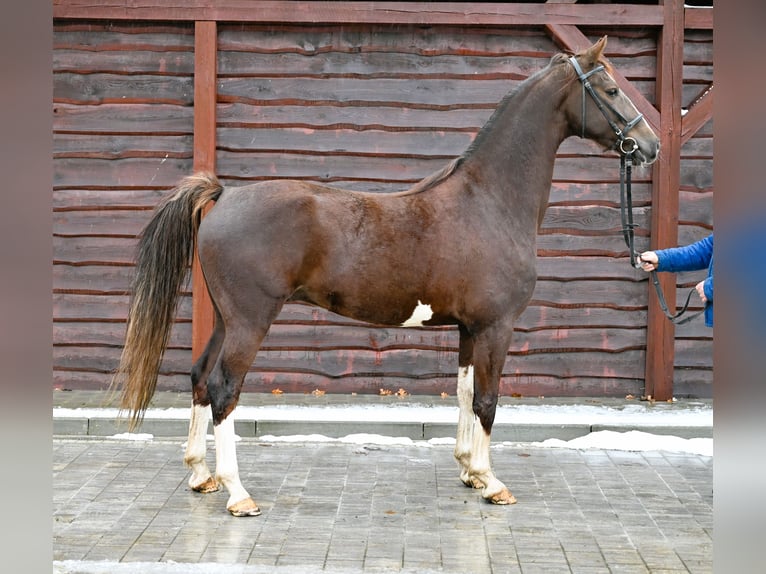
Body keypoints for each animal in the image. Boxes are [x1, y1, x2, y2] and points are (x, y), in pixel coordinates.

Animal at [113, 36, 659, 516]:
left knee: (200, 377)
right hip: (250, 321)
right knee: (224, 388)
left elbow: (464, 394)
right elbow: (487, 401)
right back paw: (238, 493)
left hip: (227, 320)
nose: (649, 145)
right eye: (611, 89)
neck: (489, 201)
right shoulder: (495, 327)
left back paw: (200, 475)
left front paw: (469, 470)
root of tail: (224, 195)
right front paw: (493, 482)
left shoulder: (469, 329)